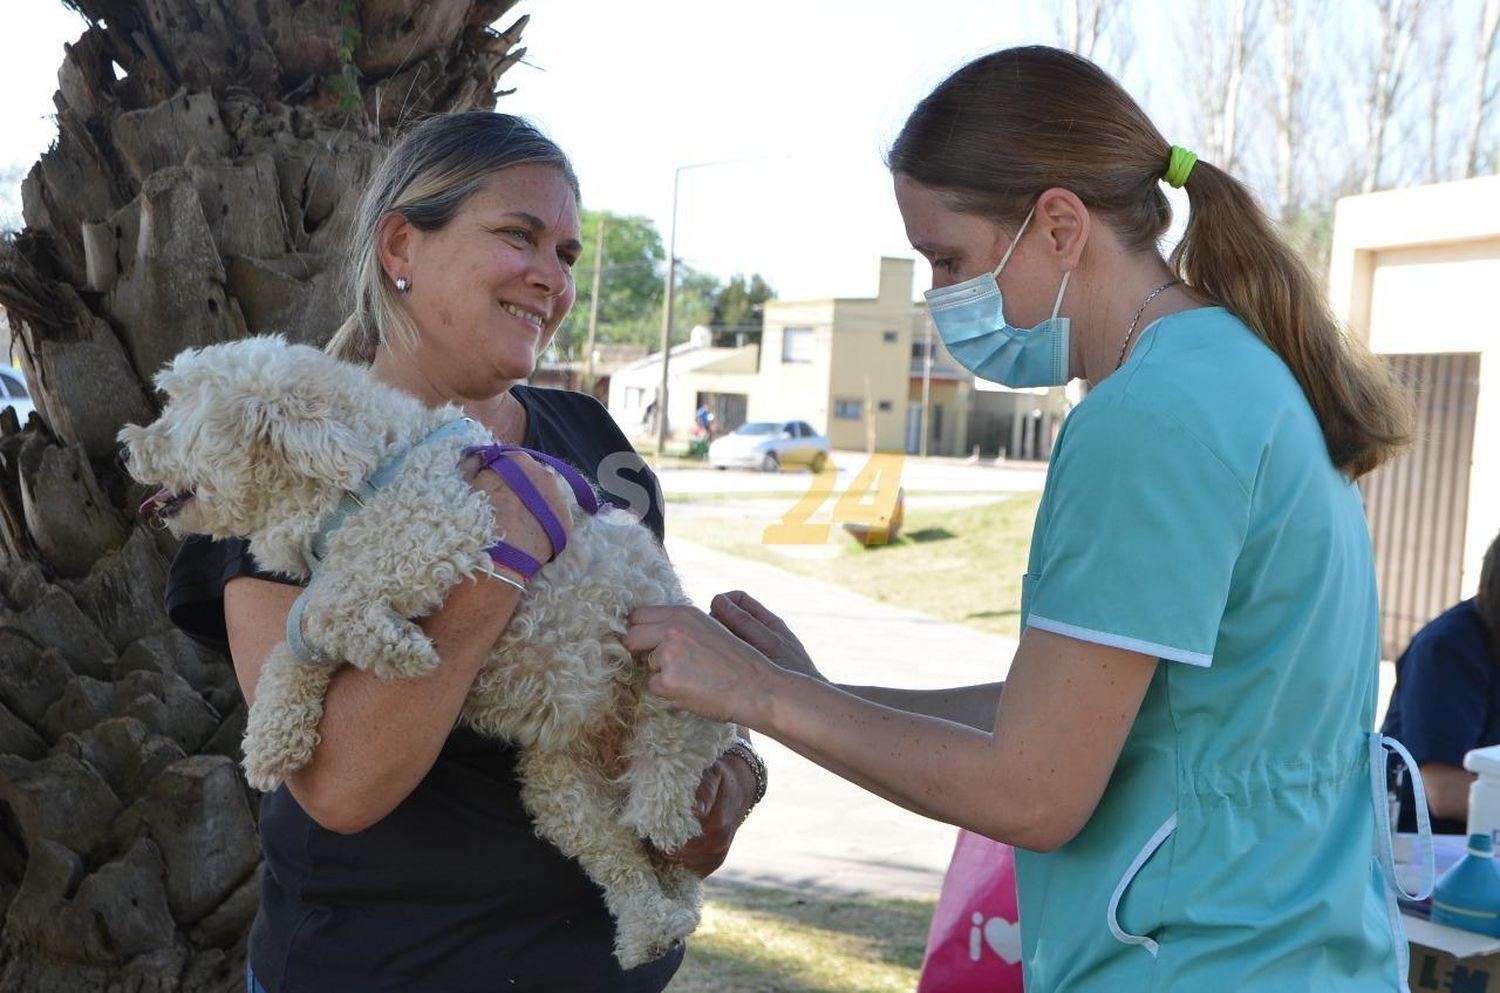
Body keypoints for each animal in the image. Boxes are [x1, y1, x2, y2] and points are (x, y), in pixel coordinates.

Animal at [114, 339, 735, 966]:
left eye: (179, 410)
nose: (125, 448)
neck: (355, 479)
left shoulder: (441, 528)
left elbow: (331, 602)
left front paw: (400, 651)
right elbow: (295, 642)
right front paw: (271, 741)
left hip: (670, 683)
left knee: (666, 787)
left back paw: (659, 829)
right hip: (560, 787)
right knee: (622, 858)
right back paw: (649, 929)